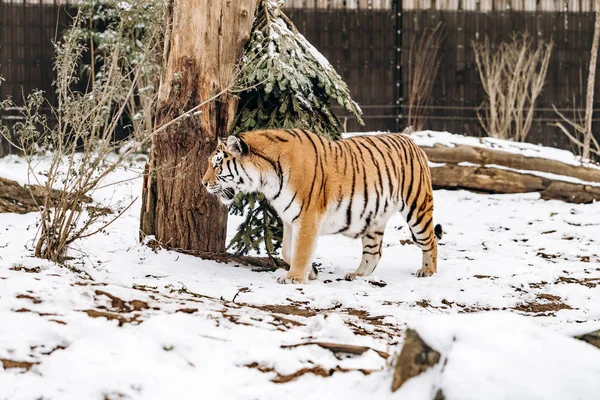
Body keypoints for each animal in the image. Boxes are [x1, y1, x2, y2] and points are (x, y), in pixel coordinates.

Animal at [204, 129, 442, 284]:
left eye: (217, 165)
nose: (203, 183)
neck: (266, 178)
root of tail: (413, 143)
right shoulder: (289, 218)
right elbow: (287, 251)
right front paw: (311, 272)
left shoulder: (307, 216)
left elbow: (300, 250)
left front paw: (294, 278)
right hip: (374, 219)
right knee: (374, 252)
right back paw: (358, 275)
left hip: (417, 208)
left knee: (430, 240)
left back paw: (427, 271)